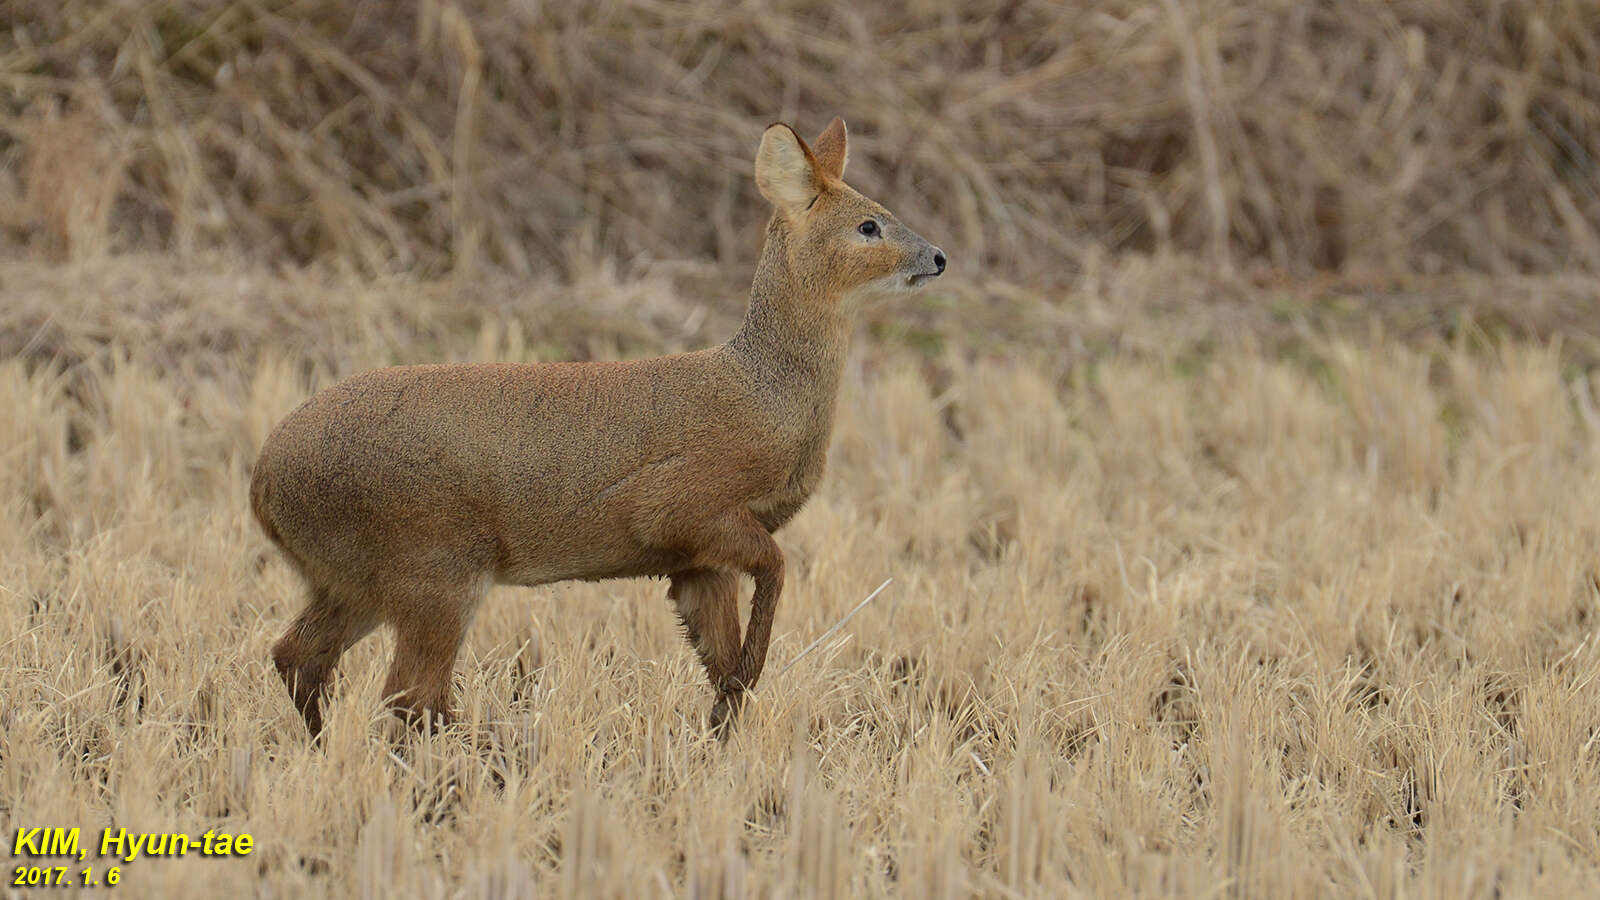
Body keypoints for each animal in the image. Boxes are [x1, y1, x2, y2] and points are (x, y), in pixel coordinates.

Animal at [249, 117, 940, 736]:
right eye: (869, 224)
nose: (937, 256)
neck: (766, 396)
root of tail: (263, 484)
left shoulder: (694, 563)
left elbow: (717, 659)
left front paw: (722, 730)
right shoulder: (682, 505)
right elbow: (774, 571)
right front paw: (750, 675)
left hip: (351, 579)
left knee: (299, 657)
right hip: (432, 570)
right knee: (408, 696)